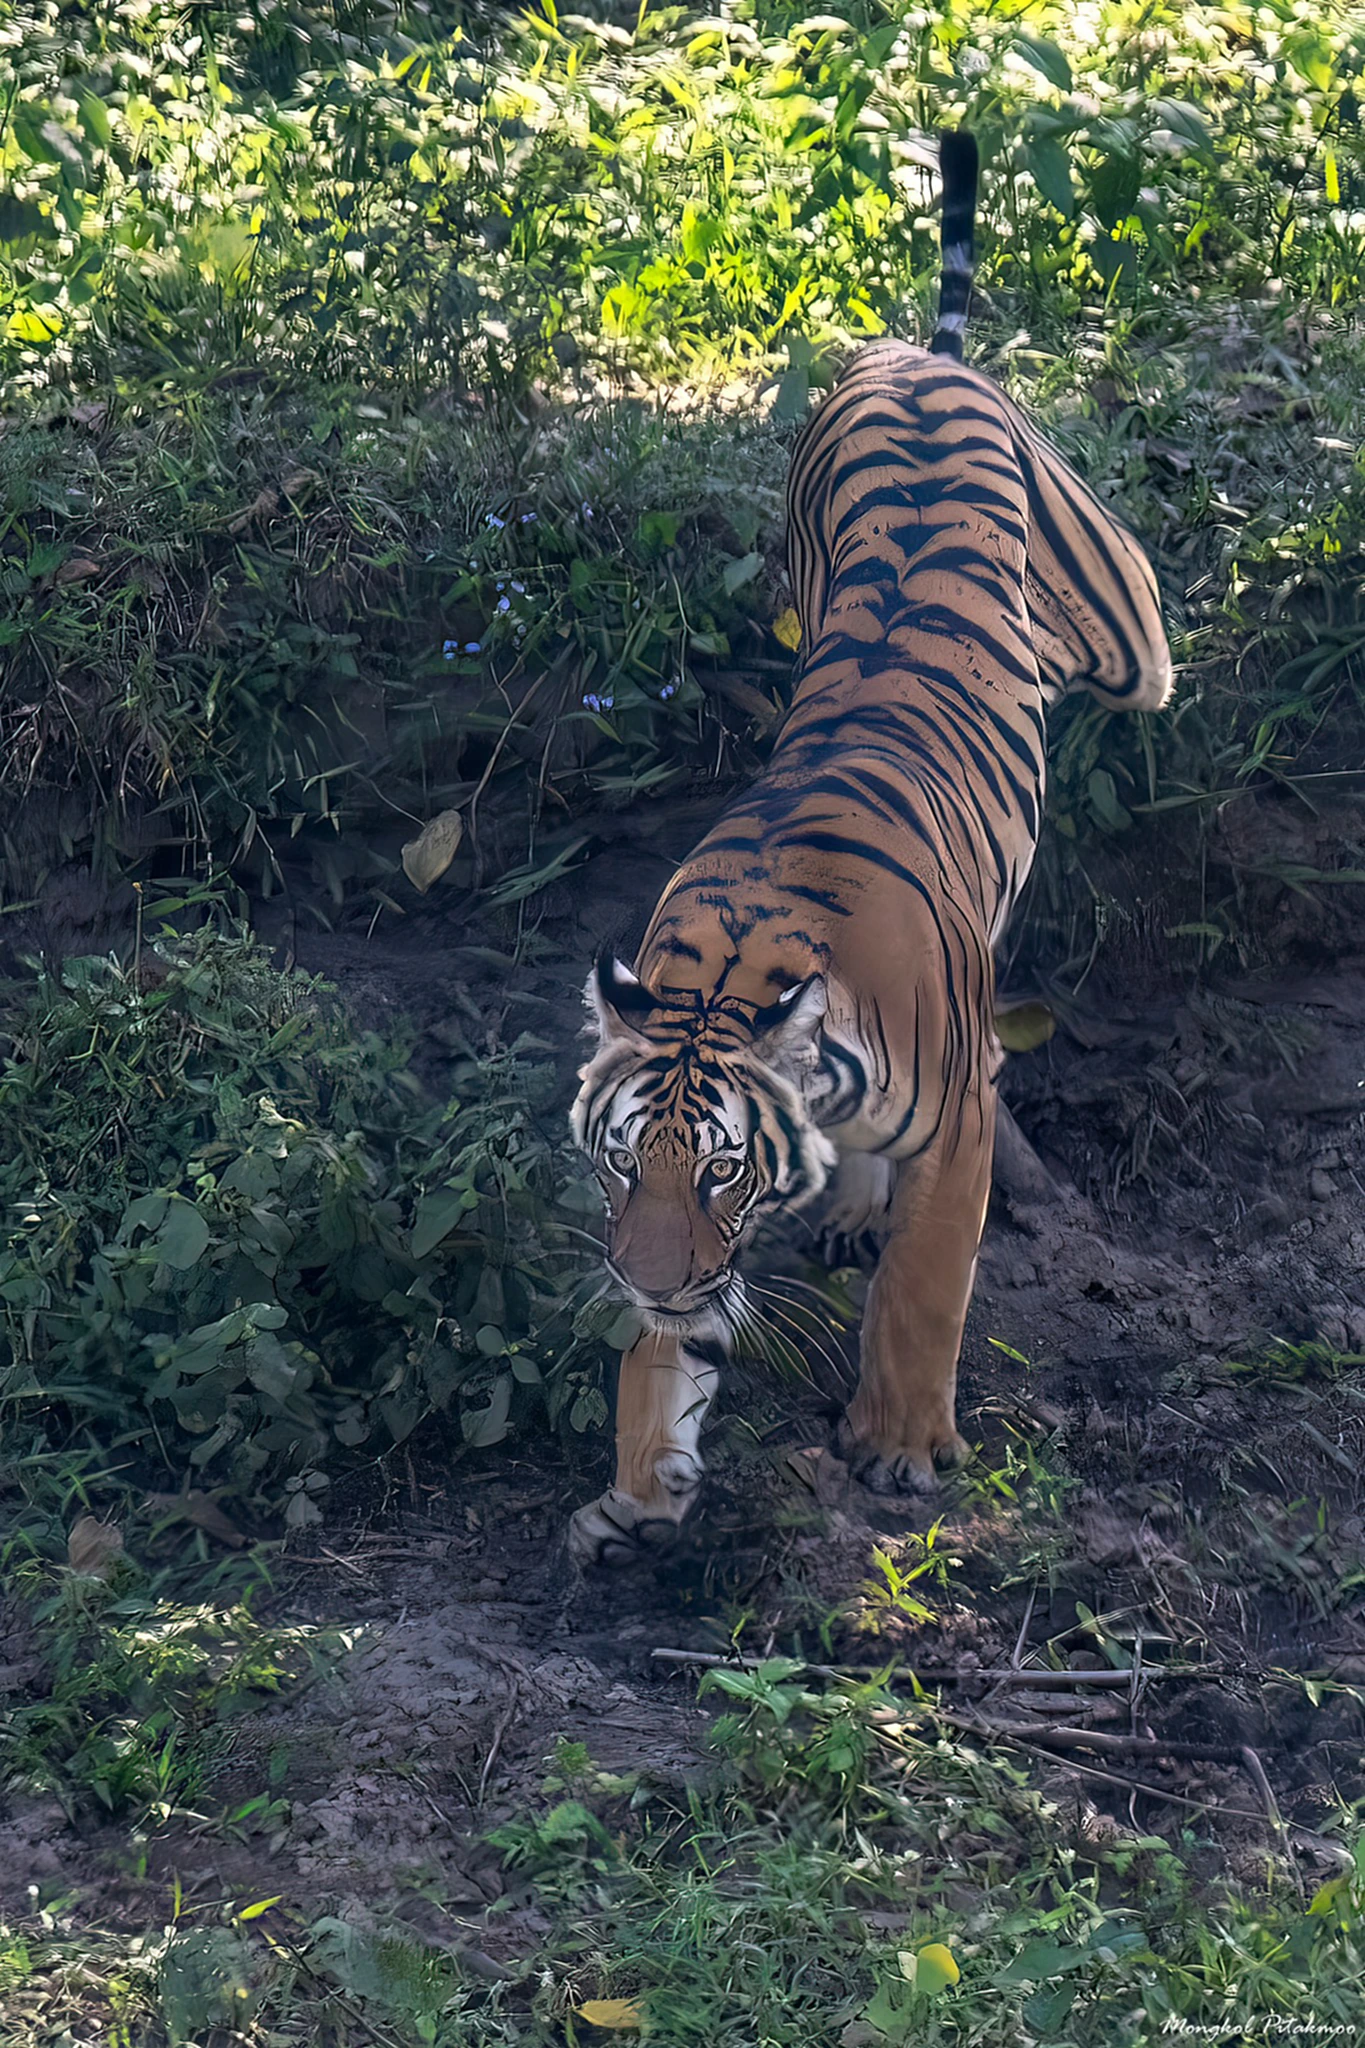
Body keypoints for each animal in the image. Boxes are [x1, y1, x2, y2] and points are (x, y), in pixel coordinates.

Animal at [568, 132, 1178, 1564]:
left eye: (723, 1165)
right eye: (624, 1159)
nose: (646, 1275)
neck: (736, 973)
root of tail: (916, 354)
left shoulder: (961, 1114)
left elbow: (924, 1283)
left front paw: (897, 1445)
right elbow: (664, 1364)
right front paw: (640, 1486)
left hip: (1128, 625)